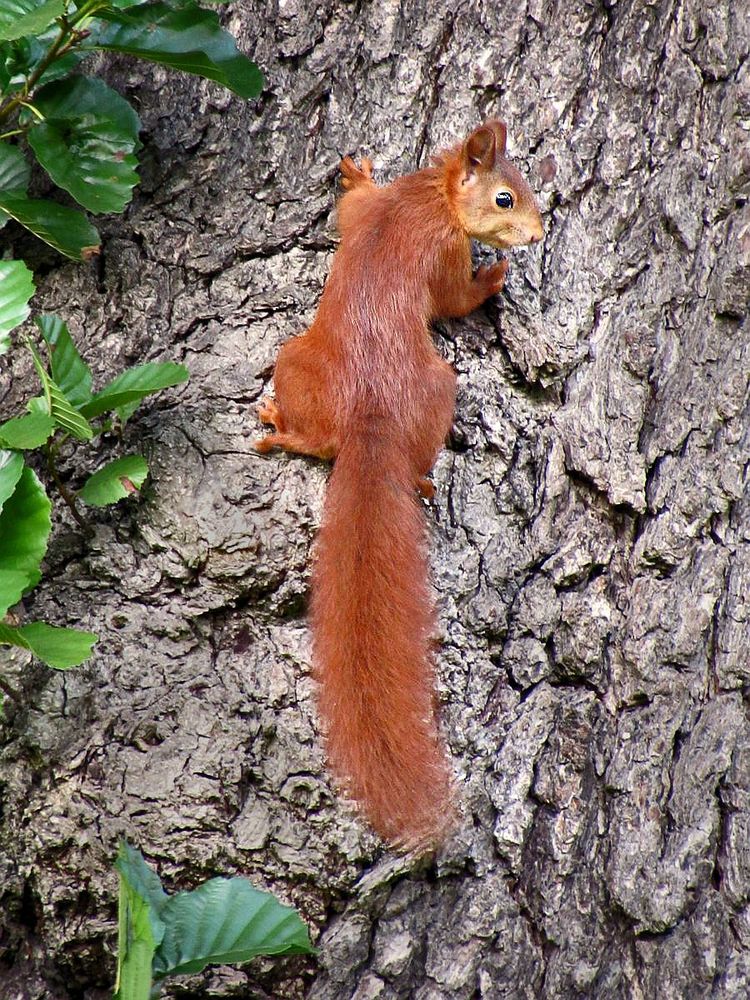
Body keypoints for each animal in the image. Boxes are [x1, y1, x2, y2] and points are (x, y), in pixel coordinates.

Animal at [256, 121, 544, 848]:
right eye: (505, 197)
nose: (536, 234)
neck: (424, 198)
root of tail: (372, 420)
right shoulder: (443, 248)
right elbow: (453, 296)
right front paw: (492, 276)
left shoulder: (371, 215)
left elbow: (351, 208)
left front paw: (355, 174)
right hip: (437, 390)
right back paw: (416, 476)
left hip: (296, 361)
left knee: (316, 437)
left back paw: (283, 428)